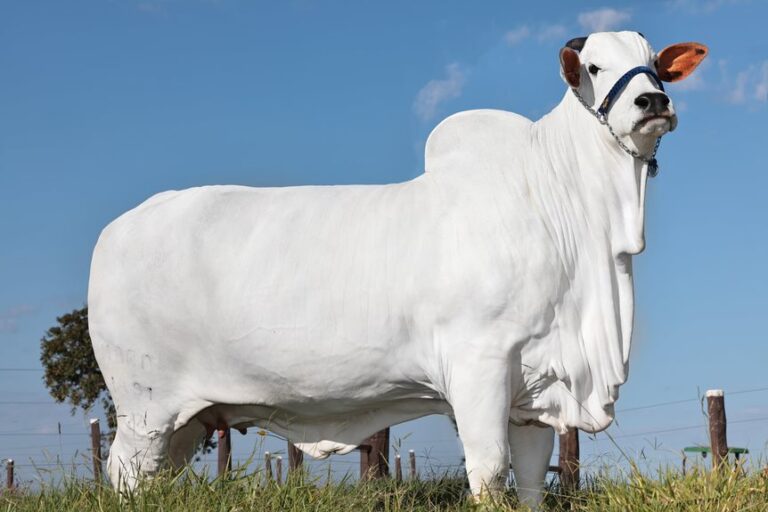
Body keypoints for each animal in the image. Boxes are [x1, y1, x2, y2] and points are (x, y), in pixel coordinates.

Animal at [88, 31, 706, 507]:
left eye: (655, 64)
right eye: (595, 66)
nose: (652, 101)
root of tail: (119, 227)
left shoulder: (535, 391)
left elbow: (530, 480)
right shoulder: (478, 367)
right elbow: (489, 471)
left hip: (187, 419)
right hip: (144, 409)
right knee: (125, 474)